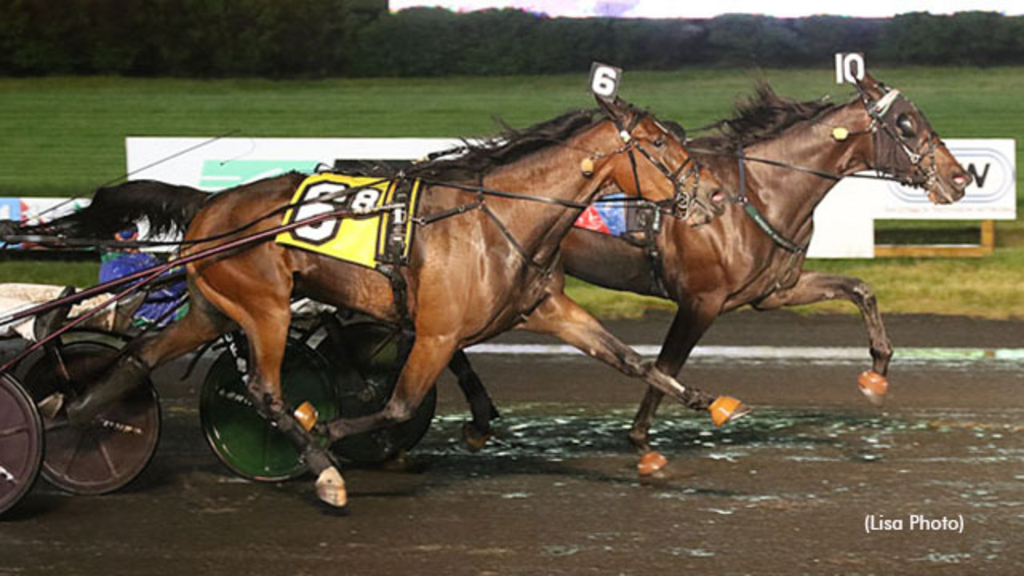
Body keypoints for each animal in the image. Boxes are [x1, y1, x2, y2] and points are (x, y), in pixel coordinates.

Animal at [49, 97, 737, 506]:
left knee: (139, 355)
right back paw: (322, 469)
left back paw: (74, 411)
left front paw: (708, 403)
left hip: (211, 309)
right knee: (265, 392)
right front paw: (326, 429)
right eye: (662, 146)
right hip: (266, 308)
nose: (713, 197)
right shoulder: (435, 333)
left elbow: (632, 359)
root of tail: (210, 202)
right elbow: (397, 402)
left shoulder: (547, 310)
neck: (498, 218)